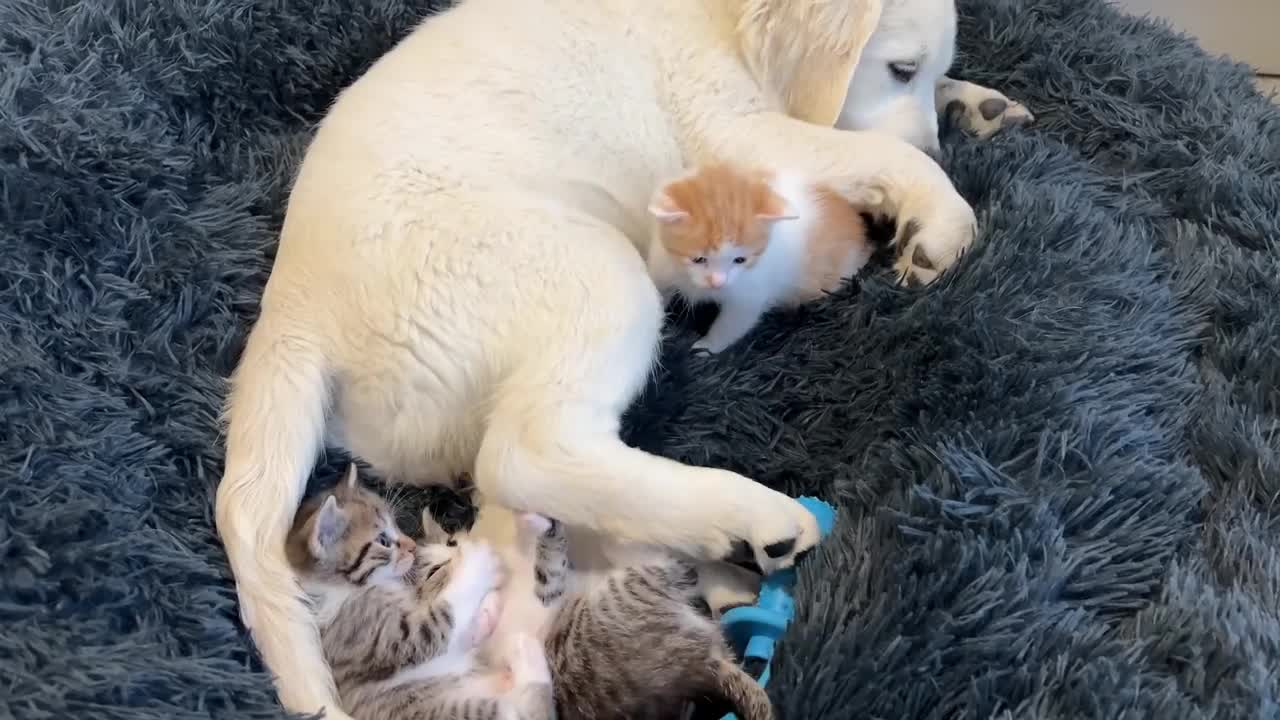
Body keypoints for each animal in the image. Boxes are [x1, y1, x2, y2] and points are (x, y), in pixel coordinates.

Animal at [288, 466, 552, 717]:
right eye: (383, 541)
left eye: (451, 543)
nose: (412, 545)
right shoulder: (383, 634)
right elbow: (444, 619)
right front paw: (480, 561)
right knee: (526, 710)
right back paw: (527, 655)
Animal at [645, 162, 875, 353]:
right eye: (699, 259)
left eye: (740, 260)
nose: (718, 282)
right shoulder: (662, 262)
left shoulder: (751, 293)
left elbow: (731, 324)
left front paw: (706, 348)